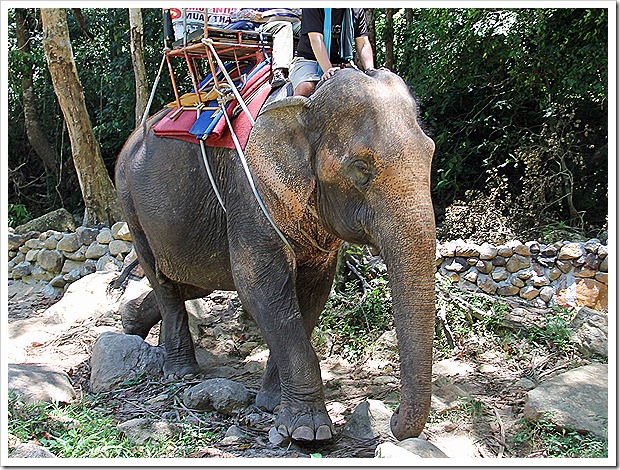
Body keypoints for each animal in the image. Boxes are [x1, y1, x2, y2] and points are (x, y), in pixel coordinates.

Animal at [115, 68, 436, 442]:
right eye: (360, 167)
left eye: (430, 152)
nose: (395, 418)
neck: (302, 105)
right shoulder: (248, 191)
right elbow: (258, 284)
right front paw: (308, 433)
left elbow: (312, 293)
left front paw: (271, 404)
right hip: (129, 201)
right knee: (161, 277)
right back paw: (180, 371)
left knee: (192, 281)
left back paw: (131, 322)